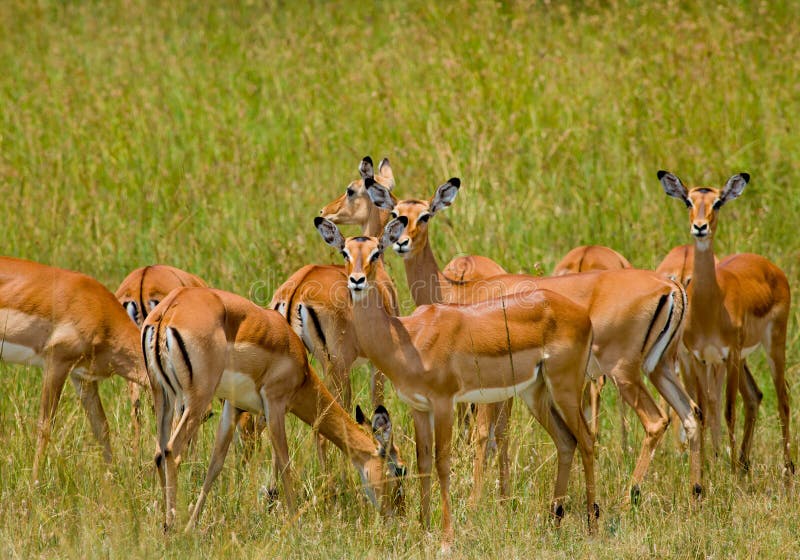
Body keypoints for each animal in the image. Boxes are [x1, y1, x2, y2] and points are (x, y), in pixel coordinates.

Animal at [0, 258, 147, 482]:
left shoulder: (82, 377)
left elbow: (101, 427)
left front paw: (112, 480)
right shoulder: (57, 363)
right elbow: (45, 426)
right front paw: (35, 482)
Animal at [141, 286, 404, 532]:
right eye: (400, 469)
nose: (395, 515)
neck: (301, 369)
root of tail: (168, 311)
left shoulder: (233, 408)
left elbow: (215, 465)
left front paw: (192, 525)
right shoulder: (275, 404)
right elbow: (285, 462)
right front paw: (295, 523)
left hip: (163, 397)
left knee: (158, 453)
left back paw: (167, 525)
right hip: (196, 399)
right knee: (171, 451)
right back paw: (171, 525)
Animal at [316, 217, 596, 548]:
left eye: (376, 252)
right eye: (345, 252)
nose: (357, 280)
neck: (408, 338)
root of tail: (583, 315)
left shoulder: (444, 403)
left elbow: (442, 463)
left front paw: (446, 539)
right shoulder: (418, 407)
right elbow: (424, 463)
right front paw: (423, 528)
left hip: (565, 387)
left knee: (587, 440)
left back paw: (593, 525)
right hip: (535, 393)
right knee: (566, 441)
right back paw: (555, 522)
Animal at [366, 177, 704, 500]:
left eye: (425, 215)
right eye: (397, 214)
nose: (401, 243)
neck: (458, 291)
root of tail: (671, 286)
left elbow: (483, 434)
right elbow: (501, 434)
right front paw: (504, 498)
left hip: (625, 373)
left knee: (655, 422)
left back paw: (626, 499)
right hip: (659, 367)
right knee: (690, 414)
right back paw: (695, 495)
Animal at [656, 171, 792, 472]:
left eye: (717, 202)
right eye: (688, 201)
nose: (700, 227)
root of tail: (771, 267)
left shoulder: (728, 356)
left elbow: (728, 410)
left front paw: (726, 470)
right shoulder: (700, 358)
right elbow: (703, 410)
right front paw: (708, 467)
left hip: (773, 346)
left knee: (783, 401)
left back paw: (786, 468)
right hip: (741, 359)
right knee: (754, 396)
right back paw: (743, 461)